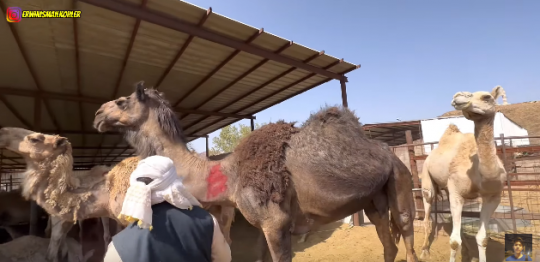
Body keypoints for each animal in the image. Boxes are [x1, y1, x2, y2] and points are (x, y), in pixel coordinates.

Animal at [92, 81, 418, 262]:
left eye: (122, 101)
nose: (97, 114)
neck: (229, 173)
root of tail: (391, 154)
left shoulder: (275, 223)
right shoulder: (262, 225)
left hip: (399, 178)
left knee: (406, 232)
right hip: (374, 199)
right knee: (388, 243)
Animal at [420, 86, 508, 262]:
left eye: (487, 97)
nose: (458, 96)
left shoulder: (493, 197)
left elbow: (482, 238)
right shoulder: (457, 193)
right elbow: (454, 242)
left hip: (447, 188)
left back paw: (467, 253)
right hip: (427, 179)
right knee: (427, 211)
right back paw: (424, 251)